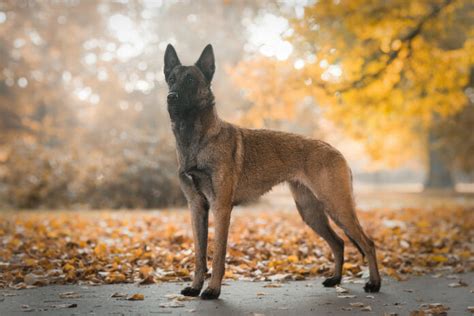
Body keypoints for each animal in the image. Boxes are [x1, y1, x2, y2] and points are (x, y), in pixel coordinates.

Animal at [163, 43, 382, 298]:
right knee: (338, 242)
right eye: (171, 79)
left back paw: (374, 284)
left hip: (337, 207)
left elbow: (217, 255)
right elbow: (199, 254)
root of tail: (333, 148)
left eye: (190, 80)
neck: (197, 140)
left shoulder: (221, 208)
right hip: (311, 212)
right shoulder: (197, 207)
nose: (171, 97)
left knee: (368, 243)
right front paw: (196, 287)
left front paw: (213, 290)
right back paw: (335, 279)